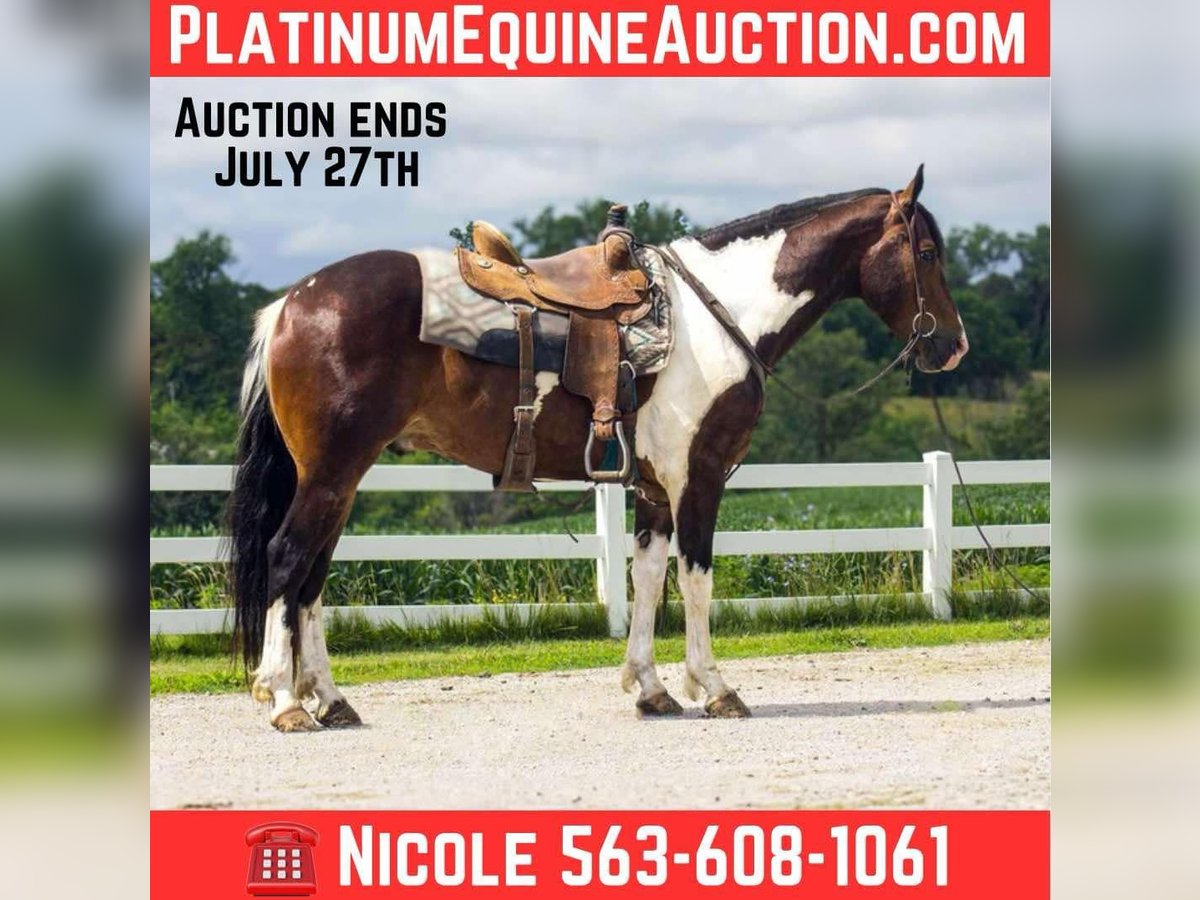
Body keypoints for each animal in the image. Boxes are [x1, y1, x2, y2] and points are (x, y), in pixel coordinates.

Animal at [227, 165, 968, 731]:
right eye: (927, 254)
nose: (952, 346)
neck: (718, 313)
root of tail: (291, 304)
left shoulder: (654, 489)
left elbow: (647, 577)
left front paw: (651, 689)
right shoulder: (700, 478)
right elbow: (695, 578)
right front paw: (714, 686)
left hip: (339, 479)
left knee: (313, 578)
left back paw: (331, 700)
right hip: (331, 473)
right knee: (287, 559)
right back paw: (285, 699)